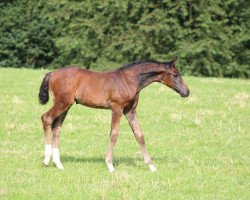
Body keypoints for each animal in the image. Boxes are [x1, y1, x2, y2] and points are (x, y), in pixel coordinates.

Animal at [39, 57, 188, 172]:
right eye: (175, 75)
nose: (186, 92)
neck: (129, 80)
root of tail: (52, 73)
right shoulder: (117, 108)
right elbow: (114, 134)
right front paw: (110, 165)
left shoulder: (130, 110)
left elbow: (139, 135)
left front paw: (151, 166)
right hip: (62, 103)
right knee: (46, 118)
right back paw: (46, 160)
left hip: (66, 105)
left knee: (56, 127)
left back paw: (58, 164)